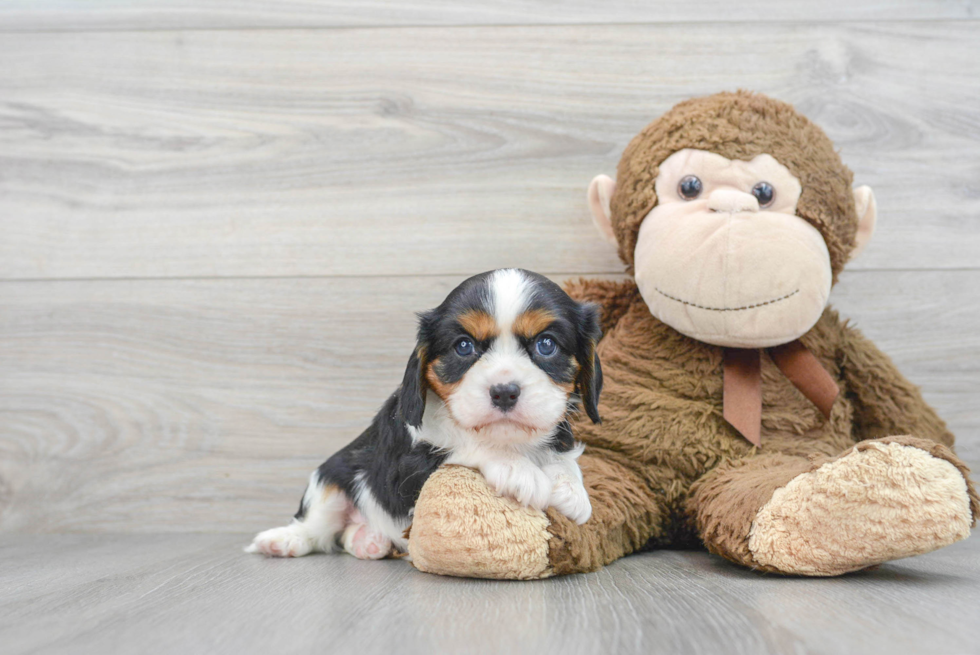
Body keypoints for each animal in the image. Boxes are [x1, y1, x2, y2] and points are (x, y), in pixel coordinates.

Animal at [247, 268, 596, 560]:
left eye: (546, 344)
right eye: (464, 346)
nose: (504, 392)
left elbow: (563, 456)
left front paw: (570, 488)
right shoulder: (409, 465)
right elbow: (464, 444)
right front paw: (519, 469)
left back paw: (367, 540)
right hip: (331, 477)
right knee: (317, 527)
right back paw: (283, 540)